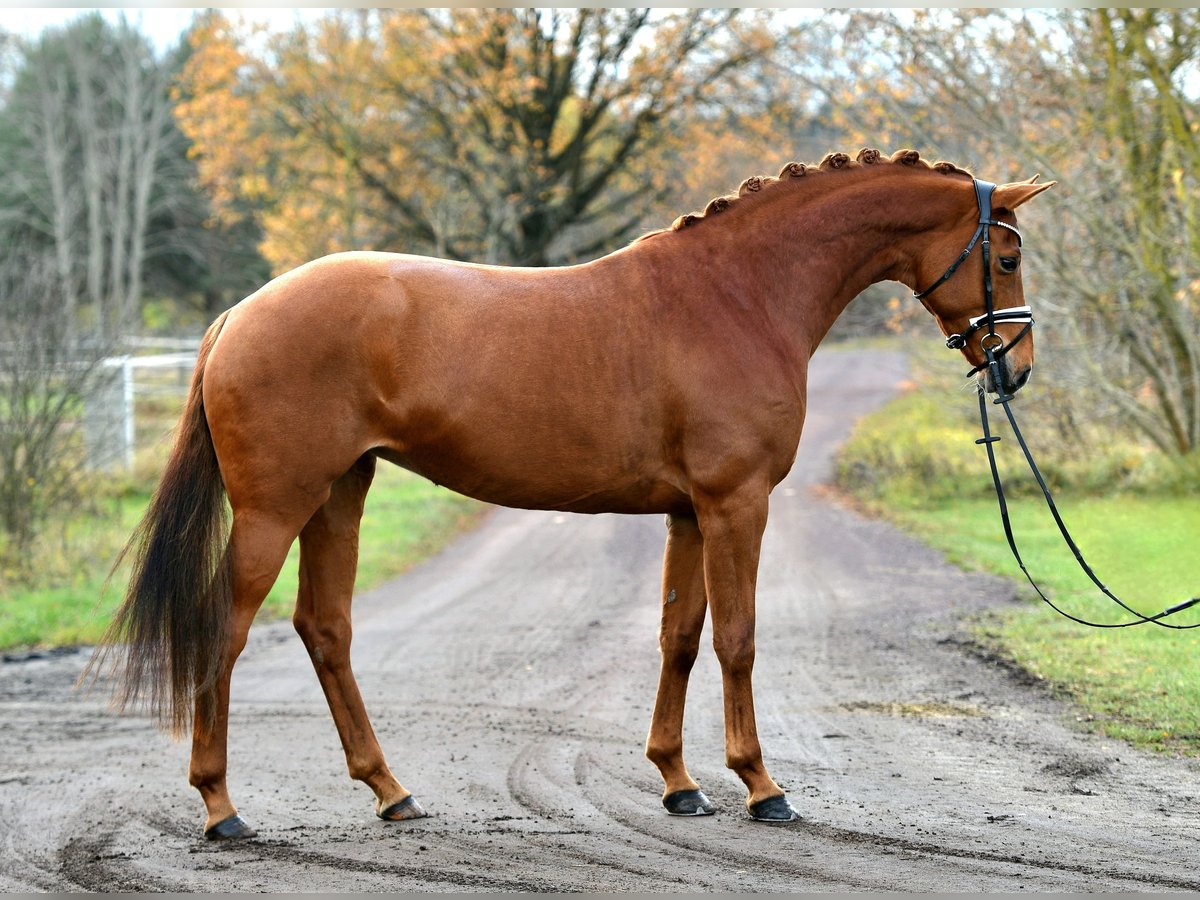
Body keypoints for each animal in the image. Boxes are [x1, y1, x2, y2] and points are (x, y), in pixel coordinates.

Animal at [90, 147, 1053, 839]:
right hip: (276, 506)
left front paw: (678, 782)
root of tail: (238, 314)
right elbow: (737, 640)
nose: (1016, 370)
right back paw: (221, 808)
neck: (737, 295)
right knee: (227, 627)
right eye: (1005, 255)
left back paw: (391, 791)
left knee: (325, 629)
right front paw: (761, 786)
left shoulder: (687, 513)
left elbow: (679, 639)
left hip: (340, 494)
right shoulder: (736, 503)